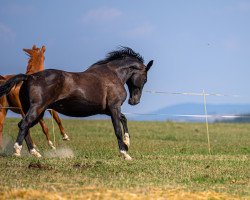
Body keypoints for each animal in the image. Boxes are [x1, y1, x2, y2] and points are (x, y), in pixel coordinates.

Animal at [0, 46, 152, 159]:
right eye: (145, 78)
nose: (134, 101)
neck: (113, 75)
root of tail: (29, 77)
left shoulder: (108, 110)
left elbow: (124, 119)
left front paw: (127, 142)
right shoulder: (114, 108)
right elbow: (117, 130)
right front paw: (125, 153)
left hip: (38, 112)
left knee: (24, 126)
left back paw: (34, 153)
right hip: (37, 109)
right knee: (24, 124)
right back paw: (17, 151)